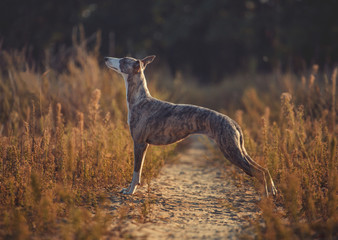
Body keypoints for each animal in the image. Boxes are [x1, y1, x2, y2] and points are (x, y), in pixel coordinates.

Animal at [104, 55, 276, 196]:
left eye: (122, 60)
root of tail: (232, 122)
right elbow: (138, 172)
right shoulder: (144, 145)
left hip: (231, 151)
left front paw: (130, 191)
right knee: (264, 169)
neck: (140, 99)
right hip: (238, 150)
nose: (105, 58)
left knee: (259, 172)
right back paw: (272, 191)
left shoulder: (139, 143)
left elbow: (135, 172)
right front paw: (129, 189)